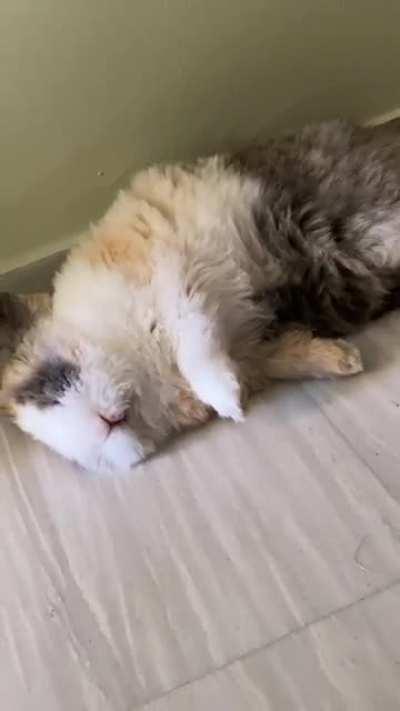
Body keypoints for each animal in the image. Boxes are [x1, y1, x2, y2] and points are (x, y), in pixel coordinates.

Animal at [2, 118, 400, 474]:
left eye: (55, 384)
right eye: (93, 460)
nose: (104, 426)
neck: (146, 360)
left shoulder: (176, 282)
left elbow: (196, 348)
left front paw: (228, 402)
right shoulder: (252, 346)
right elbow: (285, 356)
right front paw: (344, 361)